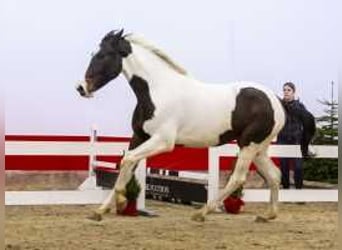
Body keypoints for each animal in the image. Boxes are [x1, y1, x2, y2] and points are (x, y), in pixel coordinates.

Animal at [77, 29, 316, 223]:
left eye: (103, 55)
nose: (81, 88)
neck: (158, 90)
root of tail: (277, 100)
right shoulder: (139, 137)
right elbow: (126, 165)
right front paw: (101, 210)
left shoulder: (163, 141)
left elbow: (127, 161)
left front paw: (119, 202)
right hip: (258, 148)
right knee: (274, 175)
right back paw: (268, 215)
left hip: (249, 145)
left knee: (238, 178)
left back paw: (202, 213)